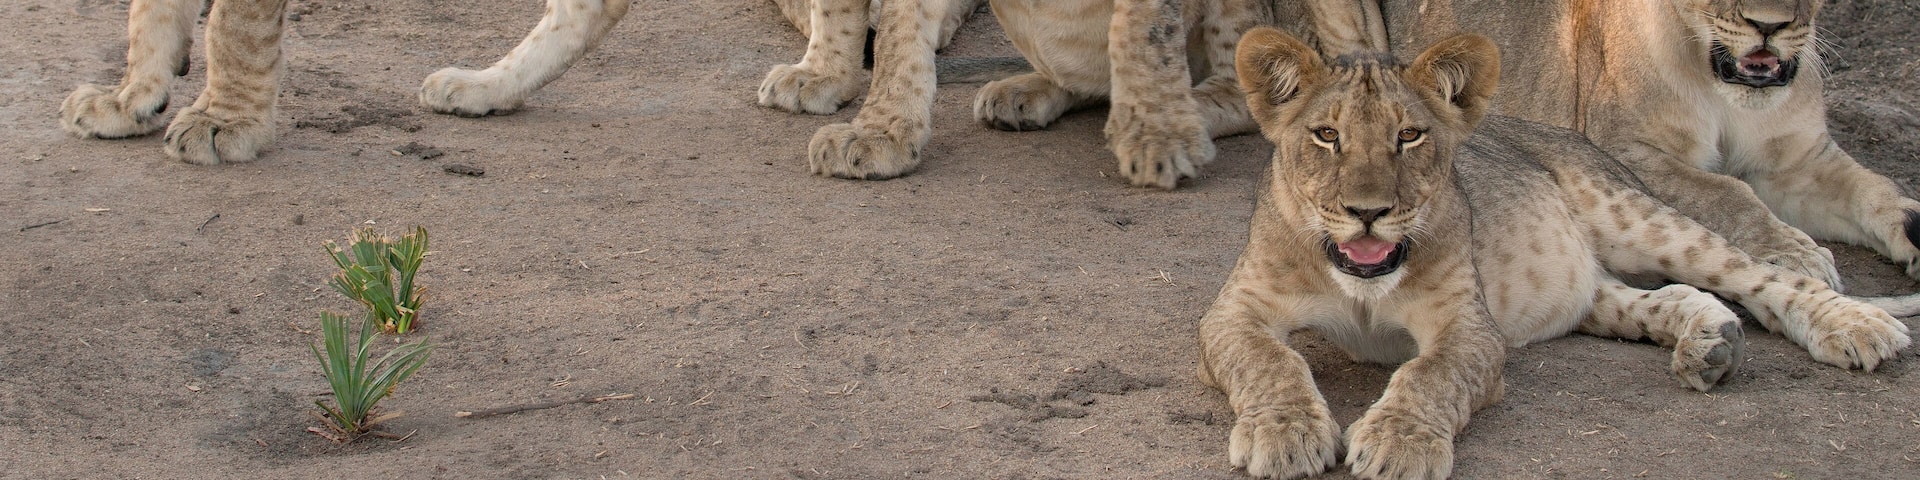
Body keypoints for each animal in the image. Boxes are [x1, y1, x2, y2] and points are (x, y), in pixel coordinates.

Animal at [1199, 28, 1911, 479]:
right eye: (1326, 136)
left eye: (1410, 136)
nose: (1367, 212)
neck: (1361, 286)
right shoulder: (1231, 312)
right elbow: (1270, 361)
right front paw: (1284, 433)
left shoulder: (1470, 325)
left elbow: (1430, 374)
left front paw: (1397, 444)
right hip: (1587, 291)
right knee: (1667, 295)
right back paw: (1710, 346)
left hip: (1634, 215)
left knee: (1761, 274)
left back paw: (1856, 326)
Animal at [1367, 0, 1920, 290]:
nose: (1769, 26)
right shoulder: (1624, 151)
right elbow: (1727, 193)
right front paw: (1797, 254)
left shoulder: (1798, 159)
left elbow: (1876, 190)